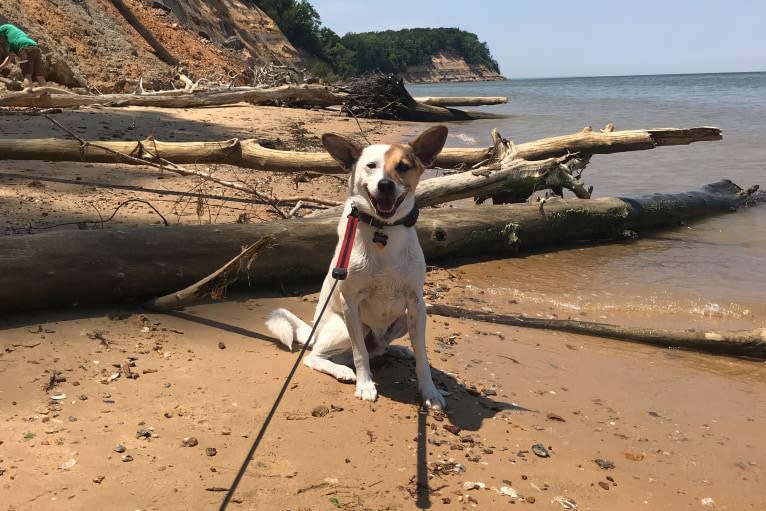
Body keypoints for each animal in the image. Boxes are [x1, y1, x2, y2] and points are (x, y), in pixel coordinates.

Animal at [268, 126, 450, 410]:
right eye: (371, 166)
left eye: (403, 166)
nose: (385, 184)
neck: (383, 232)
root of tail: (314, 332)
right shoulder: (350, 303)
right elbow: (359, 353)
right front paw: (365, 385)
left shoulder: (417, 304)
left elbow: (422, 355)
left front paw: (430, 391)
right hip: (344, 328)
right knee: (317, 356)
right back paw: (343, 370)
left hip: (403, 319)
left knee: (378, 347)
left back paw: (397, 349)